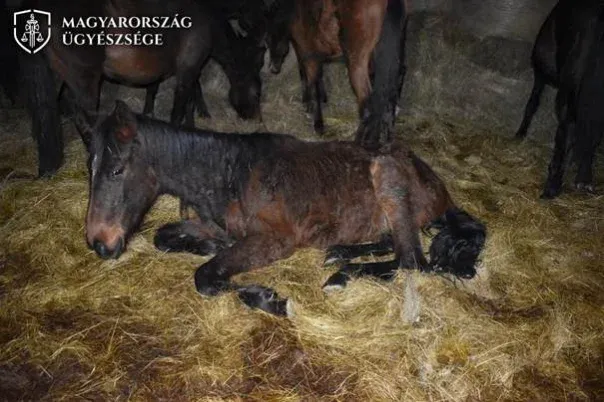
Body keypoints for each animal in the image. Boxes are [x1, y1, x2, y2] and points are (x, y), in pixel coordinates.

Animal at [85, 100, 486, 318]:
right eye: (90, 167)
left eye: (117, 170)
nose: (100, 243)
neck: (231, 172)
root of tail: (441, 188)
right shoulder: (214, 225)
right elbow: (164, 236)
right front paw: (208, 246)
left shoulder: (276, 240)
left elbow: (207, 277)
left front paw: (272, 300)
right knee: (393, 245)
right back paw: (340, 254)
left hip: (388, 181)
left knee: (412, 261)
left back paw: (341, 277)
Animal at [266, 0, 408, 149]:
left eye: (269, 36)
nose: (273, 68)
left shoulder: (309, 55)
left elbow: (311, 83)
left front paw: (318, 124)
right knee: (389, 100)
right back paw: (386, 140)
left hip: (357, 65)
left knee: (369, 105)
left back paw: (358, 142)